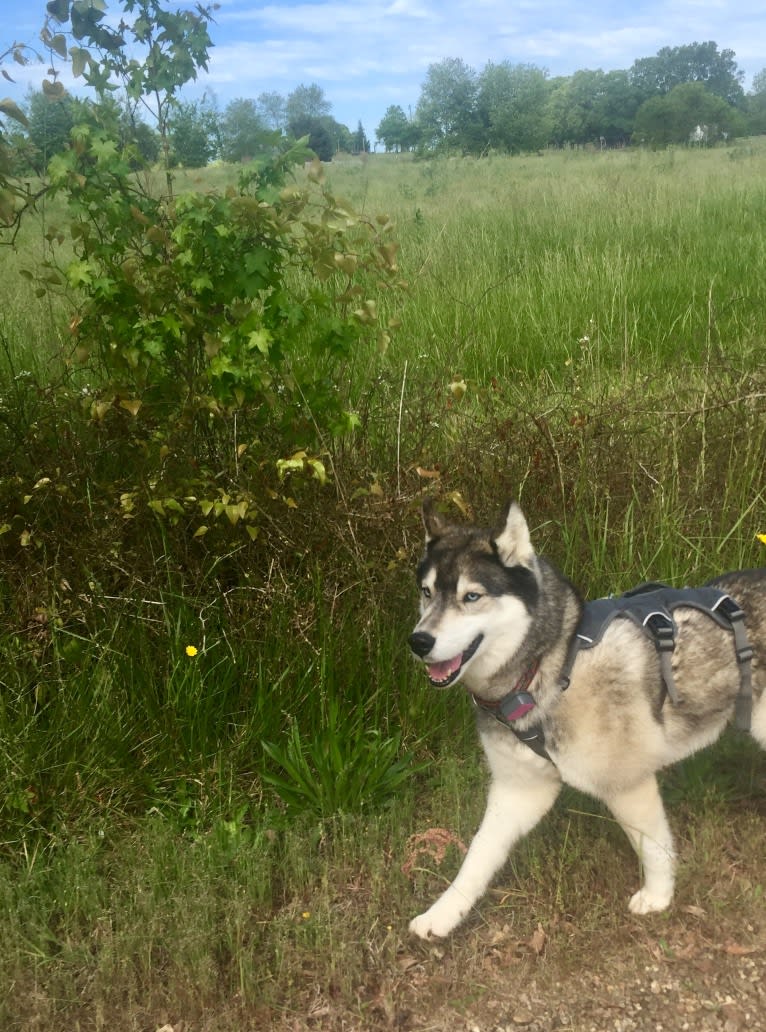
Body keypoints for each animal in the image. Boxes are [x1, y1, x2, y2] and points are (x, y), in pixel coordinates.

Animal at [410, 503, 766, 941]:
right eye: (426, 592)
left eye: (471, 596)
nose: (418, 642)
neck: (547, 668)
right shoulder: (517, 790)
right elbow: (476, 857)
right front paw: (443, 914)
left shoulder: (627, 784)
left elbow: (653, 846)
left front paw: (659, 896)